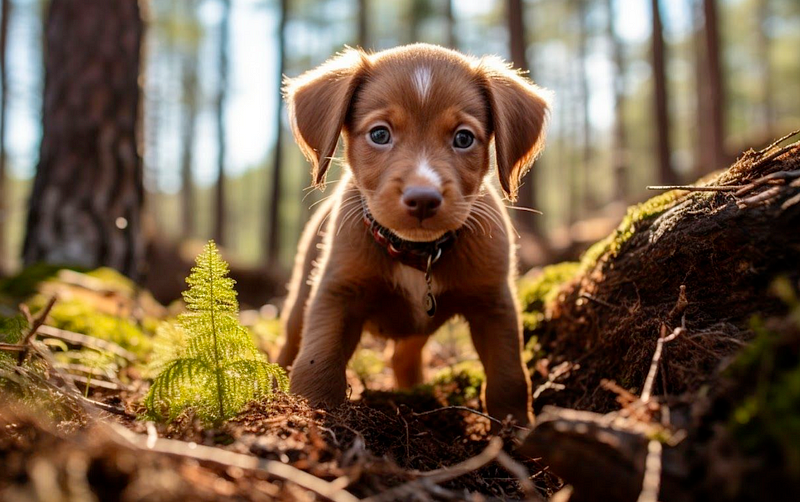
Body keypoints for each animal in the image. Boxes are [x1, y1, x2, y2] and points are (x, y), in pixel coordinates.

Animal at [278, 43, 548, 424]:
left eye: (464, 138)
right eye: (379, 134)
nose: (423, 198)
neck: (417, 252)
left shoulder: (494, 302)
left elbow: (508, 375)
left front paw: (514, 427)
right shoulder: (337, 291)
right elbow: (319, 358)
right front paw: (310, 411)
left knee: (402, 355)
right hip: (301, 296)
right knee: (289, 343)